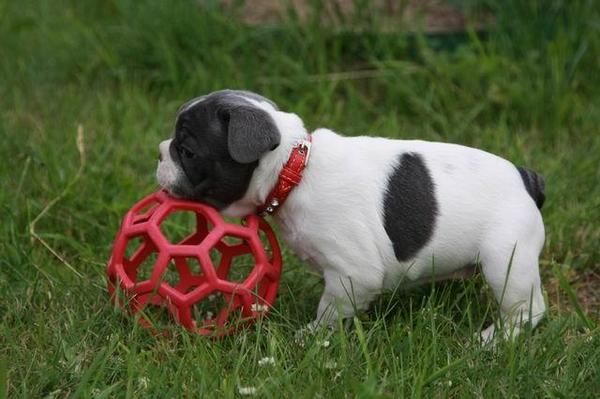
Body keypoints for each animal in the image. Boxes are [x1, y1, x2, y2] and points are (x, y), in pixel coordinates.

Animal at [157, 90, 548, 344]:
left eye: (187, 151)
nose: (159, 152)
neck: (294, 169)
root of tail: (527, 177)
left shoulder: (353, 273)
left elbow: (331, 308)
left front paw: (312, 337)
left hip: (507, 260)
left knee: (526, 308)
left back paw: (494, 339)